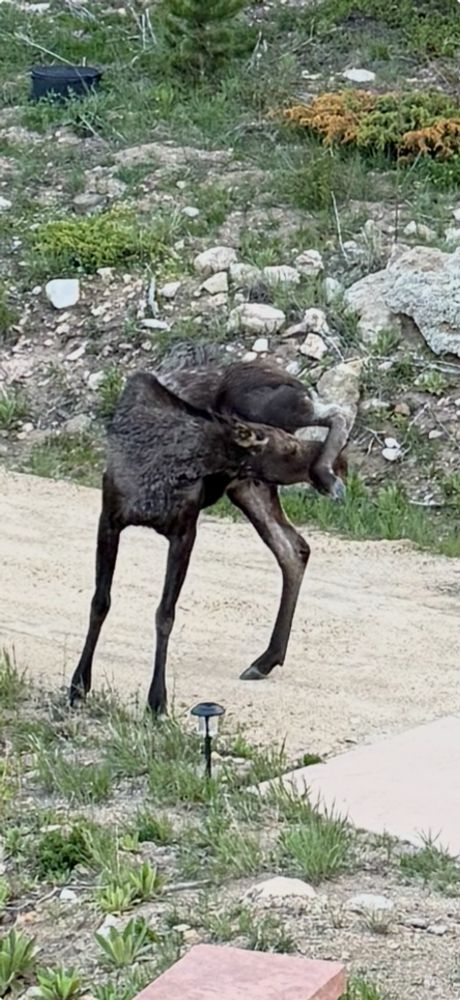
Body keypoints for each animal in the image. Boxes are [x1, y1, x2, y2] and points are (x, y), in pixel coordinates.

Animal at [69, 360, 349, 714]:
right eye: (283, 446)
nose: (343, 464)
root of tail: (289, 377)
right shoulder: (110, 519)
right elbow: (100, 602)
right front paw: (78, 684)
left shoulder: (184, 531)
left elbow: (165, 614)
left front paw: (157, 700)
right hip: (250, 485)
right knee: (294, 548)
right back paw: (266, 659)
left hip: (270, 427)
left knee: (335, 411)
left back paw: (327, 472)